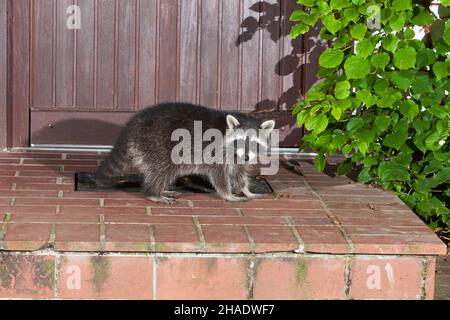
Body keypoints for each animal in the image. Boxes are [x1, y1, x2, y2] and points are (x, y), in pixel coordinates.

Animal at [95, 101, 274, 204]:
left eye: (255, 144)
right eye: (239, 141)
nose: (246, 157)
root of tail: (133, 126)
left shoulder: (237, 158)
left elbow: (239, 173)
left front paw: (246, 190)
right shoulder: (214, 151)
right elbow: (219, 175)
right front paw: (227, 194)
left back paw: (161, 189)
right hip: (159, 144)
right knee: (163, 170)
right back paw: (153, 193)